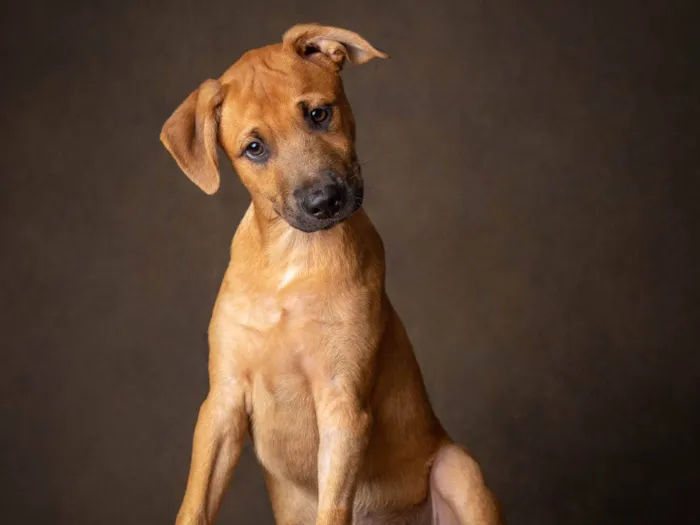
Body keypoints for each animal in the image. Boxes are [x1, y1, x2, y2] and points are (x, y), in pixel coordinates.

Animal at [160, 23, 504, 524]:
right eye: (254, 148)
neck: (292, 258)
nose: (324, 201)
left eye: (319, 114)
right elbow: (195, 504)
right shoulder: (222, 404)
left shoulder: (343, 405)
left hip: (458, 468)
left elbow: (334, 504)